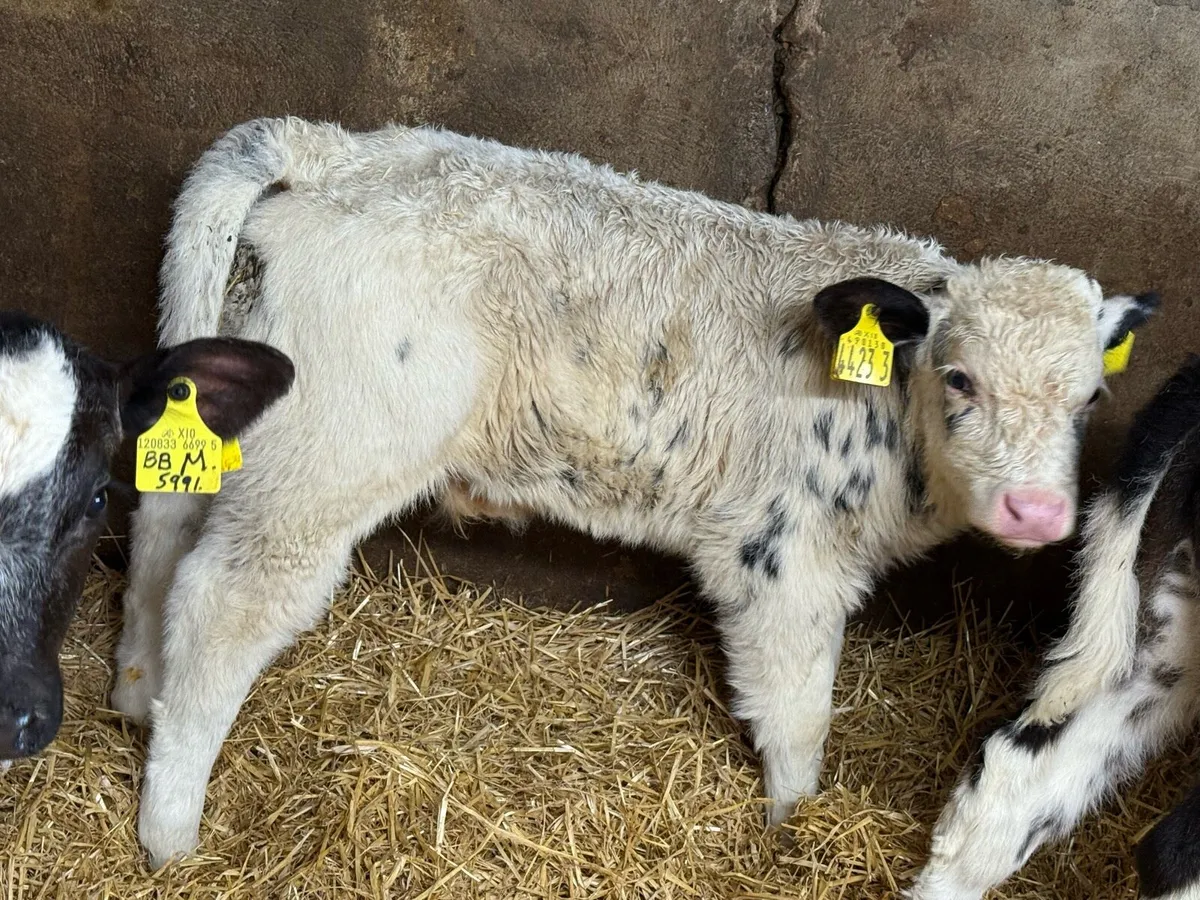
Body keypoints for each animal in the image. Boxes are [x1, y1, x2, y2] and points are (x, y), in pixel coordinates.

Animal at [110, 116, 1159, 867]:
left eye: (1089, 397)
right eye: (959, 377)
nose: (1038, 512)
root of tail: (337, 148)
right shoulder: (779, 556)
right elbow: (798, 713)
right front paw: (794, 826)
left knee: (162, 534)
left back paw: (134, 697)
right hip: (330, 455)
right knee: (224, 604)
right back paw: (171, 834)